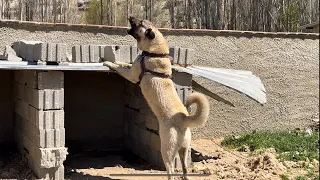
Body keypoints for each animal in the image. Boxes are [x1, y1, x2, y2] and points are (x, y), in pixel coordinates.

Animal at [104, 16, 211, 179]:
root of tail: (184, 119)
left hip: (166, 150)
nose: (130, 17)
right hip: (184, 151)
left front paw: (108, 62)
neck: (154, 51)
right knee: (185, 170)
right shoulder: (132, 67)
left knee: (171, 170)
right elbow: (123, 63)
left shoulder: (132, 75)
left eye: (140, 23)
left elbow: (119, 68)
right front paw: (117, 61)